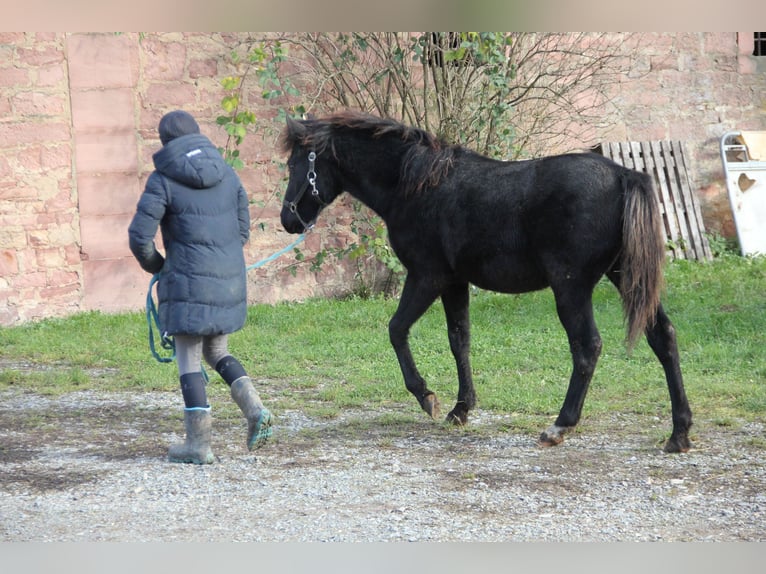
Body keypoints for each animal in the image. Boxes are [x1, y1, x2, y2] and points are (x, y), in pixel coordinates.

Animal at [280, 111, 692, 454]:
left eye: (295, 164)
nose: (288, 219)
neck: (416, 185)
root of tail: (624, 175)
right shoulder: (454, 283)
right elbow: (459, 341)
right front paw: (461, 409)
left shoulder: (426, 277)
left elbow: (397, 330)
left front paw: (427, 396)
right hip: (625, 278)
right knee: (664, 337)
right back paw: (679, 432)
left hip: (572, 289)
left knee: (588, 347)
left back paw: (559, 425)